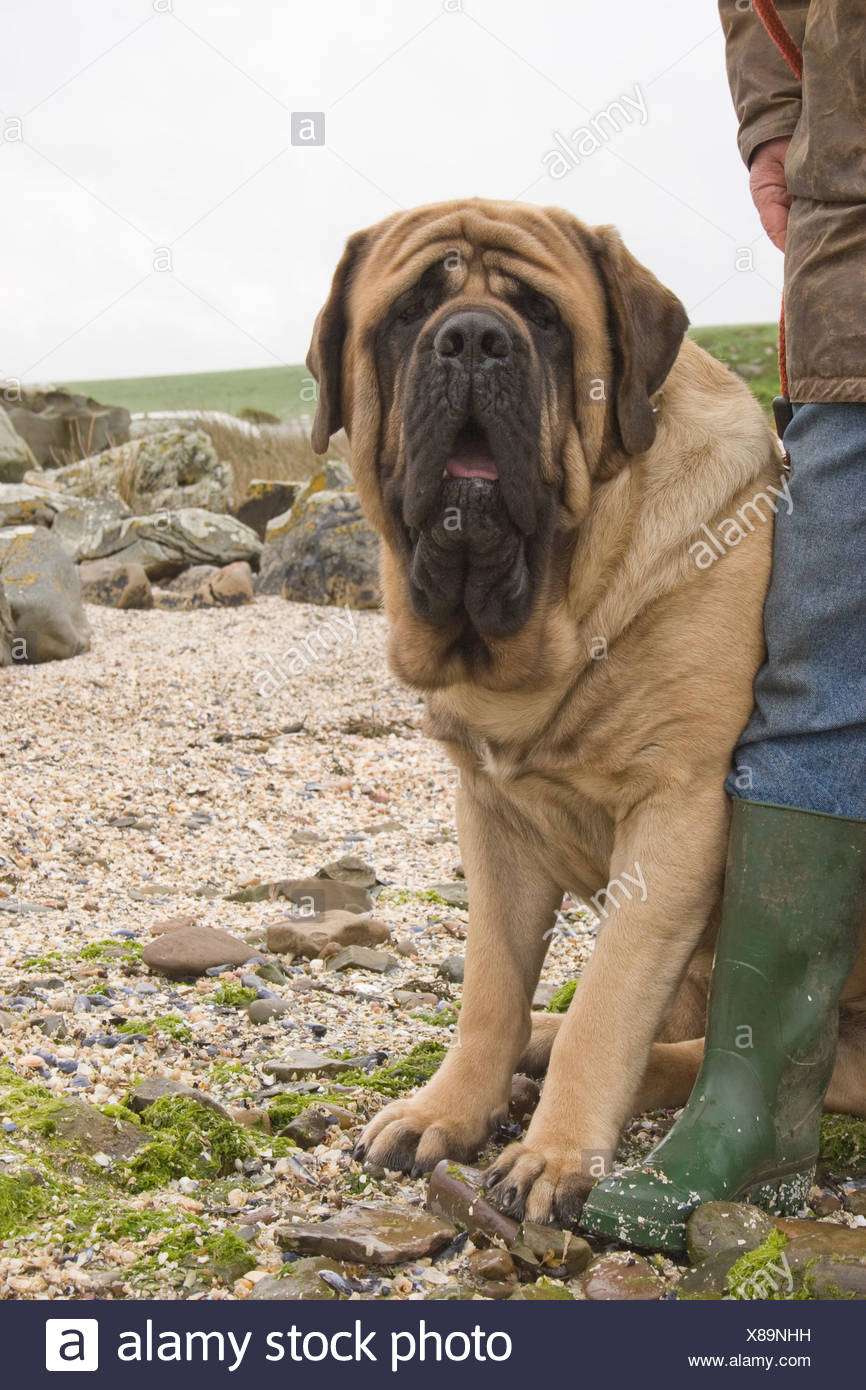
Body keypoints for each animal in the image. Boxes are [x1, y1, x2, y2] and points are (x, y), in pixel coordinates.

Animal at [303, 201, 866, 1223]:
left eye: (543, 316)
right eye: (408, 311)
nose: (473, 339)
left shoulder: (680, 812)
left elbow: (609, 1000)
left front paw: (554, 1155)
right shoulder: (491, 818)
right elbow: (489, 984)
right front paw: (449, 1108)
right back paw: (536, 1040)